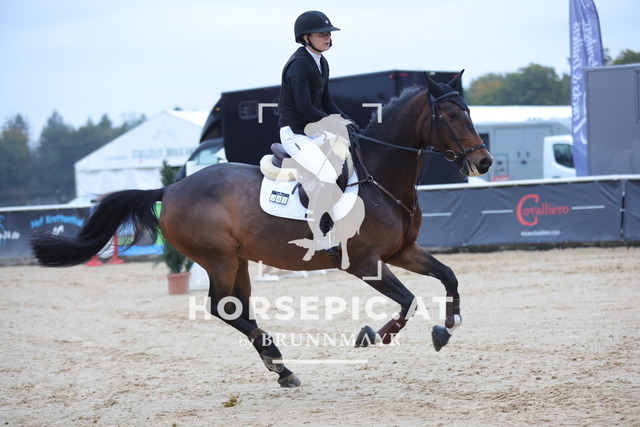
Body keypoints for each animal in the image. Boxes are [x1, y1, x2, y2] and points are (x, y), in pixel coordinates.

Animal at [31, 71, 493, 388]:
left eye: (469, 111)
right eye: (450, 114)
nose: (484, 161)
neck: (379, 175)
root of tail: (171, 187)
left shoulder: (401, 252)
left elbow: (447, 277)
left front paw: (447, 327)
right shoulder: (364, 263)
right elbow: (409, 301)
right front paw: (373, 335)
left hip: (238, 260)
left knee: (238, 307)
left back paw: (281, 367)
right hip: (217, 258)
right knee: (222, 306)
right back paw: (278, 361)